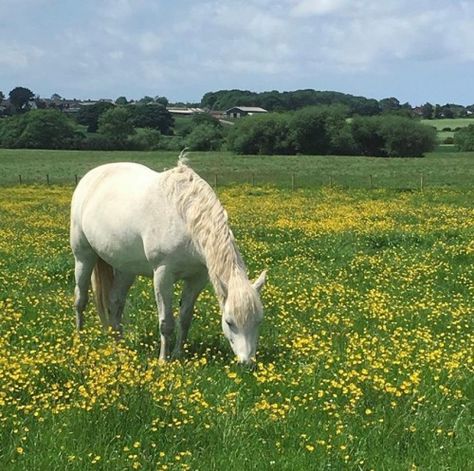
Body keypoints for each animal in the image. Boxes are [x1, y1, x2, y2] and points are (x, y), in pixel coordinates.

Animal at [69, 157, 266, 364]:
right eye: (229, 322)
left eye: (259, 320)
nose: (247, 363)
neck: (186, 217)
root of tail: (90, 177)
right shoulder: (163, 275)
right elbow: (166, 323)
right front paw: (163, 360)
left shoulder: (197, 278)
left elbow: (185, 318)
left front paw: (179, 353)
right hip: (83, 257)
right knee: (80, 299)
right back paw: (79, 339)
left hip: (125, 269)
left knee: (115, 301)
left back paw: (118, 344)